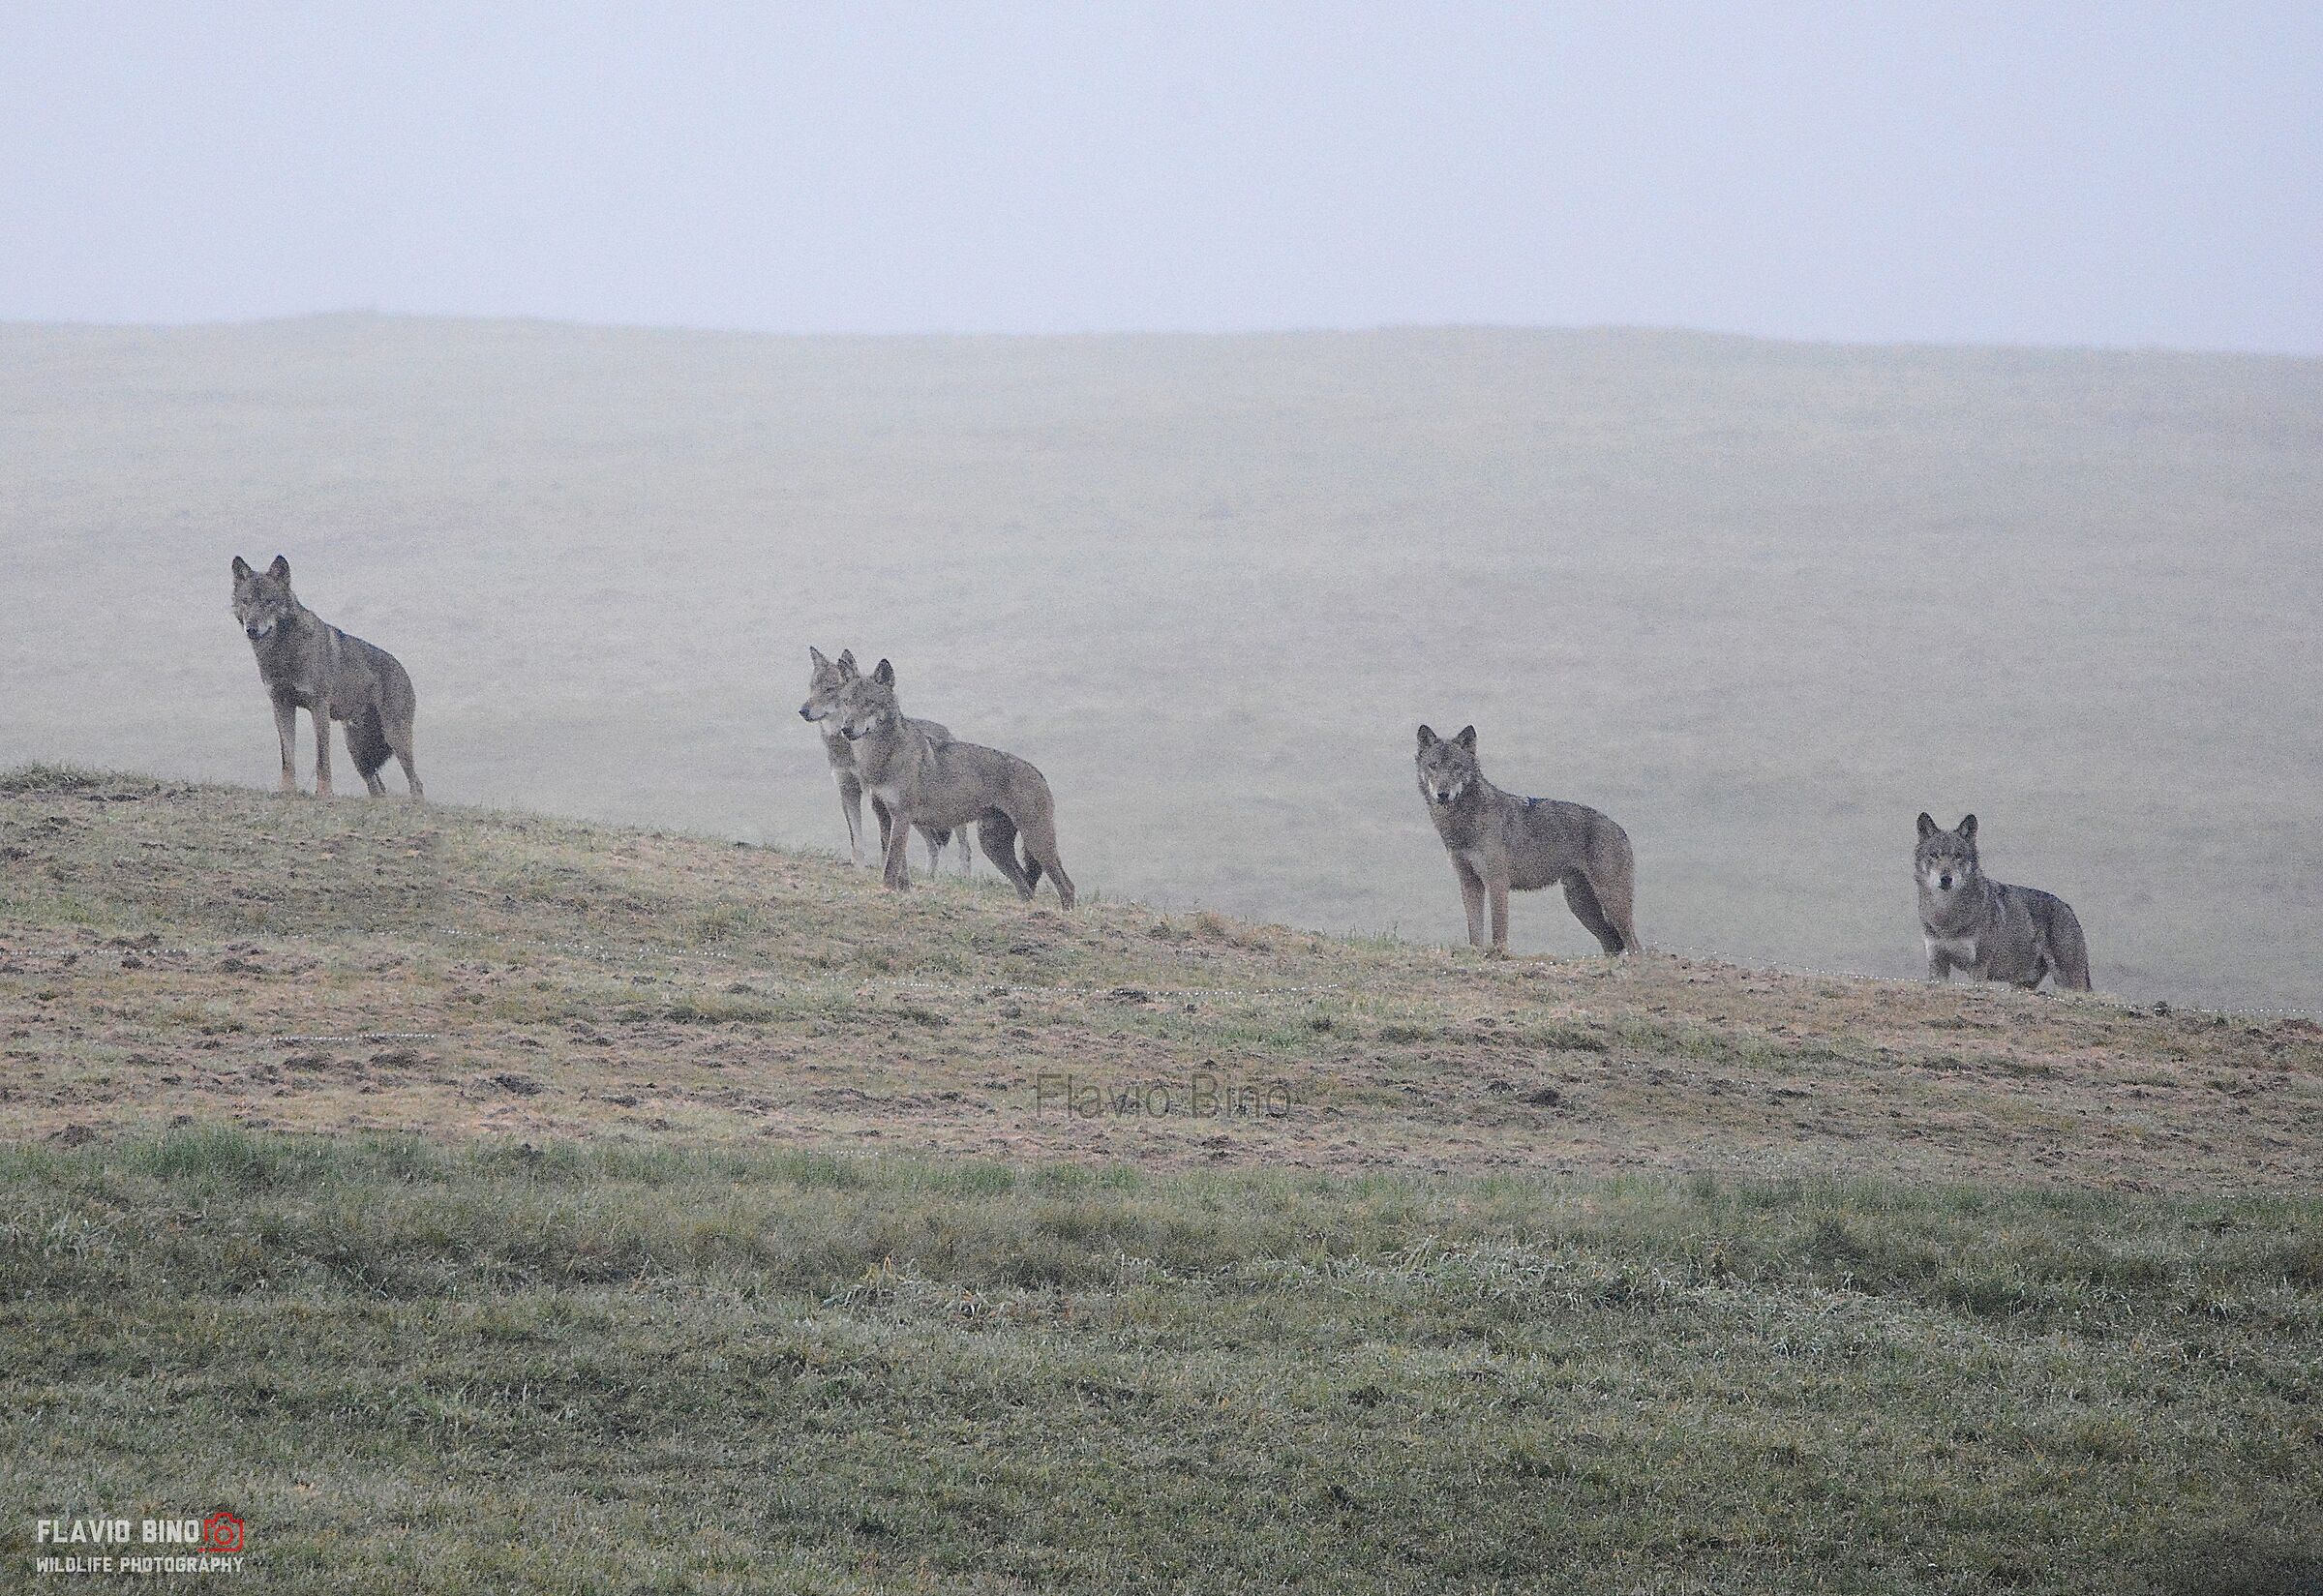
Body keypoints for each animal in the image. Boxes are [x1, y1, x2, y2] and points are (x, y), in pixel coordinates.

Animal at [229, 555, 422, 800]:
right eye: (246, 601)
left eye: (268, 601)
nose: (251, 629)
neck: (283, 653)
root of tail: (404, 670)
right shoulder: (281, 706)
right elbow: (287, 756)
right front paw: (286, 790)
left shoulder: (318, 707)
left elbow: (322, 757)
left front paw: (323, 792)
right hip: (358, 751)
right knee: (378, 788)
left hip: (394, 738)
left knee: (416, 783)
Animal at [798, 647, 968, 875]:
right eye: (812, 688)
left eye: (830, 689)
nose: (802, 711)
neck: (849, 749)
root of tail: (947, 732)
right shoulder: (847, 790)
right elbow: (856, 839)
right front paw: (859, 870)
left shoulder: (874, 795)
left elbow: (884, 842)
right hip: (918, 815)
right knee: (933, 845)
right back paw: (929, 877)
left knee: (964, 849)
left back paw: (964, 878)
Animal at [834, 658, 1074, 907]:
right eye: (847, 702)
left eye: (869, 702)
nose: (846, 729)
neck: (883, 758)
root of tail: (1038, 771)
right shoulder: (884, 816)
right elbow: (900, 866)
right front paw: (902, 891)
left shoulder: (901, 817)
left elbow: (891, 864)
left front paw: (888, 891)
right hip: (992, 846)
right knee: (1025, 887)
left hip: (1036, 842)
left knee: (1067, 886)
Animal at [1414, 724, 1638, 957]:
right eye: (1433, 765)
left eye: (1456, 766)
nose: (1442, 794)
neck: (1462, 824)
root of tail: (1621, 830)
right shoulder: (1469, 883)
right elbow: (1475, 933)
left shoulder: (1497, 882)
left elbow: (1498, 930)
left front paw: (1500, 955)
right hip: (1580, 904)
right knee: (1612, 942)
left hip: (1610, 901)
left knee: (1634, 945)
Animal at [1914, 813, 2092, 990]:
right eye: (1934, 855)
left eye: (1957, 856)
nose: (1946, 879)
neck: (1946, 918)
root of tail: (2067, 907)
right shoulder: (1937, 964)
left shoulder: (1978, 968)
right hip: (2022, 983)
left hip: (2069, 981)